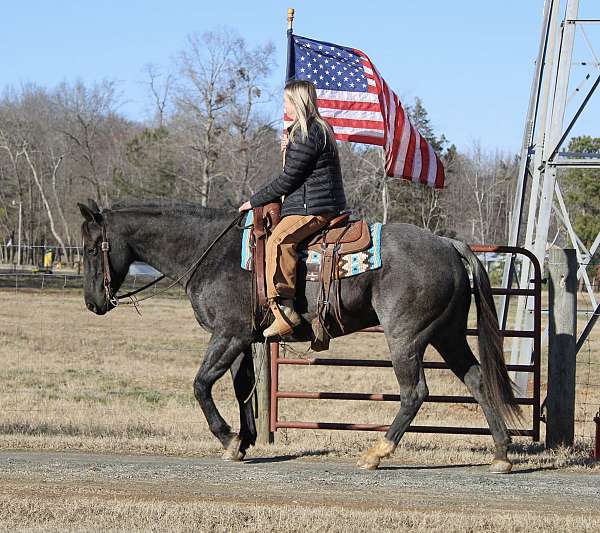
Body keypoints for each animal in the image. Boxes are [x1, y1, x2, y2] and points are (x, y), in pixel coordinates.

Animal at [77, 198, 520, 470]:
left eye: (90, 248)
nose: (93, 302)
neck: (211, 253)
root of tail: (448, 244)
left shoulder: (228, 335)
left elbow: (201, 384)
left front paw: (227, 439)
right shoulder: (244, 340)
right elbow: (243, 388)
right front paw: (245, 440)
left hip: (406, 338)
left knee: (415, 393)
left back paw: (377, 452)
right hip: (448, 335)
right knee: (478, 381)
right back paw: (501, 454)